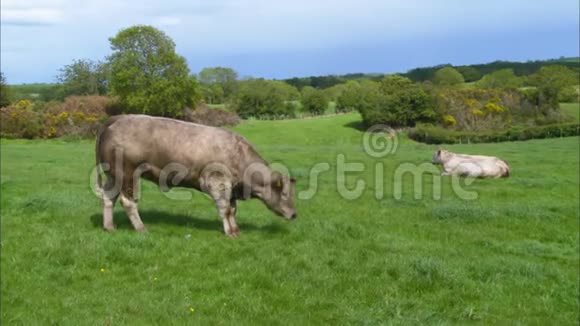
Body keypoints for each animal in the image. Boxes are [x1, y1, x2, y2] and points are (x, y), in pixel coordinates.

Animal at [95, 114, 296, 237]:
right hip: (126, 174)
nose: (294, 214)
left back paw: (109, 227)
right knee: (128, 201)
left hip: (113, 176)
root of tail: (119, 118)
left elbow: (232, 209)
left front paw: (236, 230)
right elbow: (225, 209)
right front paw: (230, 233)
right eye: (285, 194)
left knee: (108, 197)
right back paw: (141, 228)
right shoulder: (217, 182)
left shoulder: (230, 188)